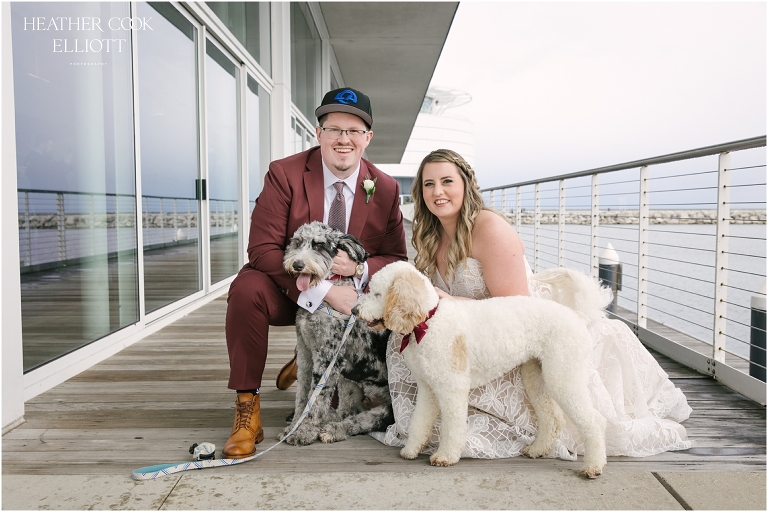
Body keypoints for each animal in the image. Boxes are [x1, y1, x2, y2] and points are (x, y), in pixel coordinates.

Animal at [280, 222, 392, 446]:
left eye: (319, 245)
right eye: (297, 242)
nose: (297, 264)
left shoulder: (327, 357)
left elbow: (316, 399)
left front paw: (303, 432)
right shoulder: (305, 353)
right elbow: (302, 394)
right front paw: (294, 426)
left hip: (387, 405)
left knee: (366, 420)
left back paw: (334, 429)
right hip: (349, 382)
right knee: (349, 410)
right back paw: (331, 419)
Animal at [352, 262, 612, 478]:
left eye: (377, 293)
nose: (354, 310)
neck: (428, 322)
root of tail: (578, 316)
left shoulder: (452, 389)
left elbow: (453, 427)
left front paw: (445, 456)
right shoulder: (428, 389)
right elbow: (419, 421)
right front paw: (411, 449)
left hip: (564, 376)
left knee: (594, 421)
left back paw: (593, 466)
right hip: (537, 377)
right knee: (552, 418)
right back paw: (538, 449)